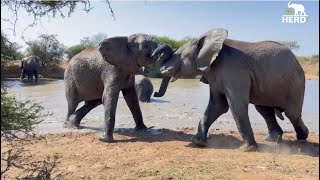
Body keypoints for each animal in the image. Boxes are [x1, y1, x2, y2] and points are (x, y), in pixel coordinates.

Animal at [154, 28, 308, 152]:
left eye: (178, 54)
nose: (155, 93)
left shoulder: (234, 71)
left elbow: (236, 106)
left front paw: (247, 150)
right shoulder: (215, 76)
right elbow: (218, 105)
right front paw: (198, 143)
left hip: (296, 82)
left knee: (292, 113)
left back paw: (302, 137)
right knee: (264, 110)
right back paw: (273, 140)